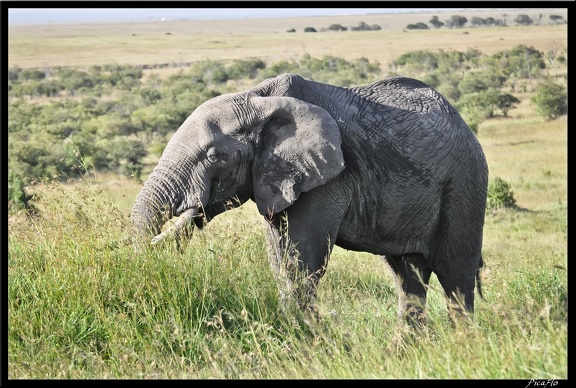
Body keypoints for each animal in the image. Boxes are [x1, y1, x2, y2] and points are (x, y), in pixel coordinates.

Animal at [132, 72, 490, 324]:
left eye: (216, 156)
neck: (257, 98)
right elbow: (280, 254)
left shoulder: (327, 177)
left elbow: (302, 255)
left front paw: (303, 333)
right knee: (407, 275)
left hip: (465, 184)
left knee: (455, 274)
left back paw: (462, 346)